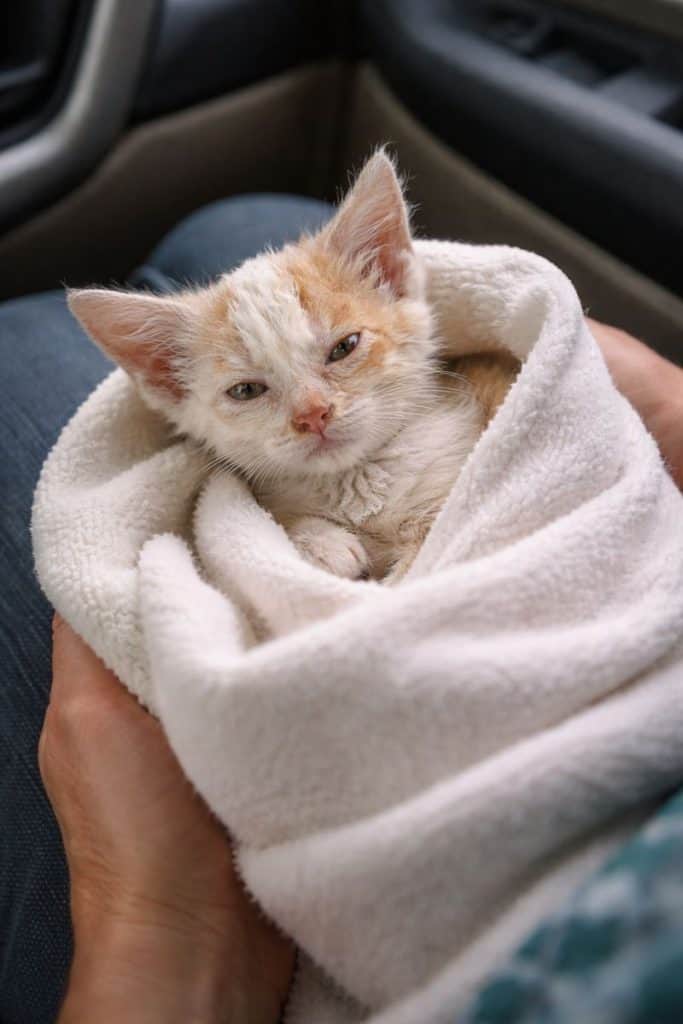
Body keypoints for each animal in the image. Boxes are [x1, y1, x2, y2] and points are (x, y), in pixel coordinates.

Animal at [68, 152, 517, 582]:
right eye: (246, 390)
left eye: (344, 347)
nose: (313, 414)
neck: (356, 479)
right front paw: (320, 541)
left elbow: (414, 580)